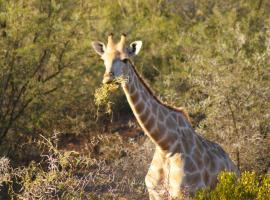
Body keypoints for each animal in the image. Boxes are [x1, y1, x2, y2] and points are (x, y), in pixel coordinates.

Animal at [92, 33, 239, 199]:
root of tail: (236, 169)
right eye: (103, 59)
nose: (107, 79)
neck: (165, 145)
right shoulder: (154, 193)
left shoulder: (186, 194)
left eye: (125, 59)